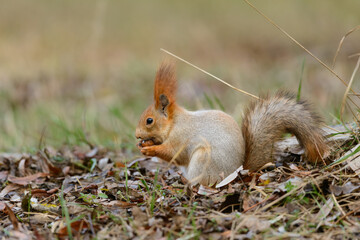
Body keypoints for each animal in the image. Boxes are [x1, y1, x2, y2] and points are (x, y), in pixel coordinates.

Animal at [136, 62, 330, 186]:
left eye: (149, 120)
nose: (137, 135)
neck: (174, 123)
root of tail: (239, 171)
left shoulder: (181, 137)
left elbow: (174, 153)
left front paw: (150, 149)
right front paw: (145, 144)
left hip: (203, 160)